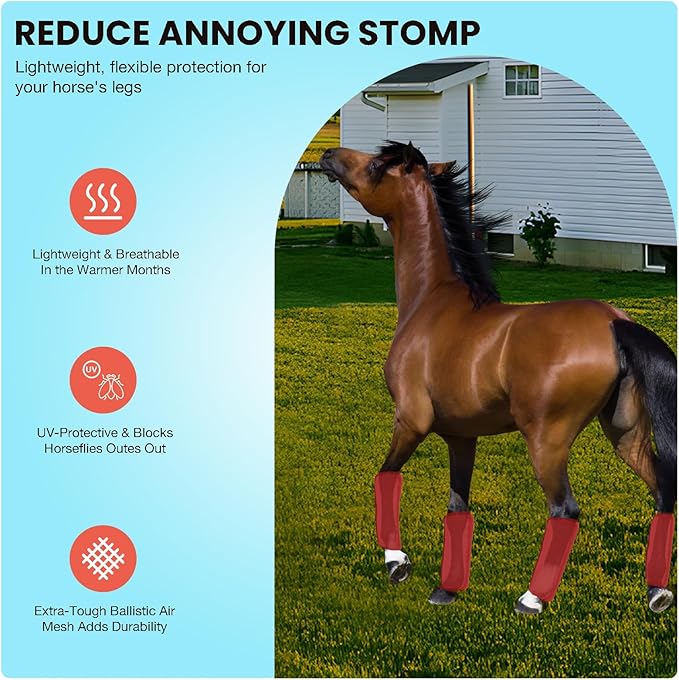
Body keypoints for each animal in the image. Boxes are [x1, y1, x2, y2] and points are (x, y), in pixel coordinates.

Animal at [320, 141, 676, 614]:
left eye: (378, 164)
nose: (328, 155)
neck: (431, 303)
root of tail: (614, 322)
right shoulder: (460, 437)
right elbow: (457, 507)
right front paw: (446, 590)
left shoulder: (412, 421)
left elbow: (385, 476)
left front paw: (397, 563)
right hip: (625, 432)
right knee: (662, 491)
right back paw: (658, 592)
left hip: (547, 441)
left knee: (565, 510)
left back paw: (531, 599)